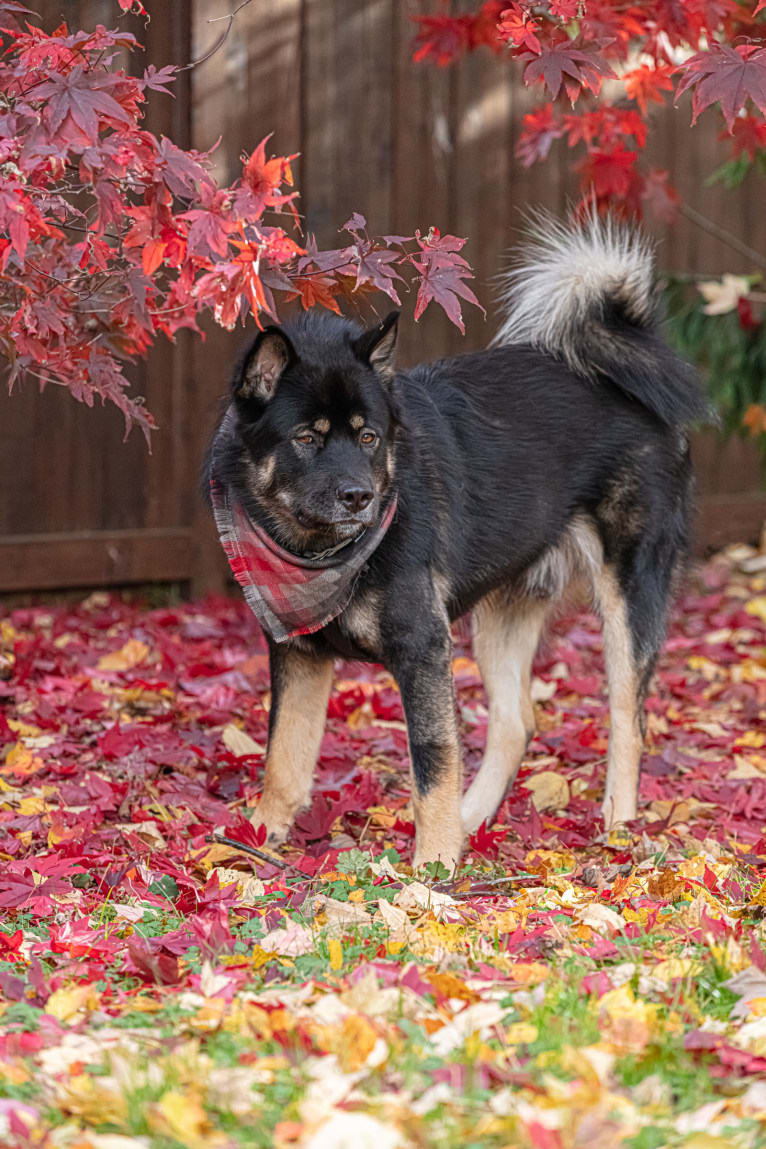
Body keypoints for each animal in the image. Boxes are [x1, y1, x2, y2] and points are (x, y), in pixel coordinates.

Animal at [206, 211, 712, 864]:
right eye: (307, 438)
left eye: (368, 437)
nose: (359, 498)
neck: (319, 556)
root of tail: (621, 368)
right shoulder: (299, 653)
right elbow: (283, 757)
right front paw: (256, 841)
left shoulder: (423, 648)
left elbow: (433, 760)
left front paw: (435, 862)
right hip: (505, 608)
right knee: (517, 721)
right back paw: (476, 818)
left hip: (630, 592)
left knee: (629, 717)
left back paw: (618, 828)